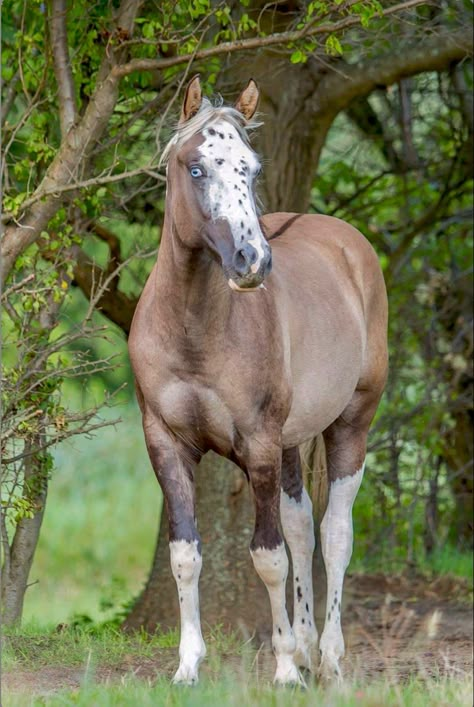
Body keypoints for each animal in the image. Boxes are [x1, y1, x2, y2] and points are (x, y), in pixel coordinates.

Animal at [128, 76, 386, 684]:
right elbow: (186, 553)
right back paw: (311, 647)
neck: (195, 330)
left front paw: (285, 668)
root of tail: (348, 244)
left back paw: (329, 660)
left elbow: (268, 557)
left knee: (334, 535)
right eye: (197, 167)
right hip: (294, 443)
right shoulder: (165, 443)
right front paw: (188, 666)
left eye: (251, 168)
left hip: (351, 424)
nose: (252, 261)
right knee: (301, 526)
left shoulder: (260, 444)